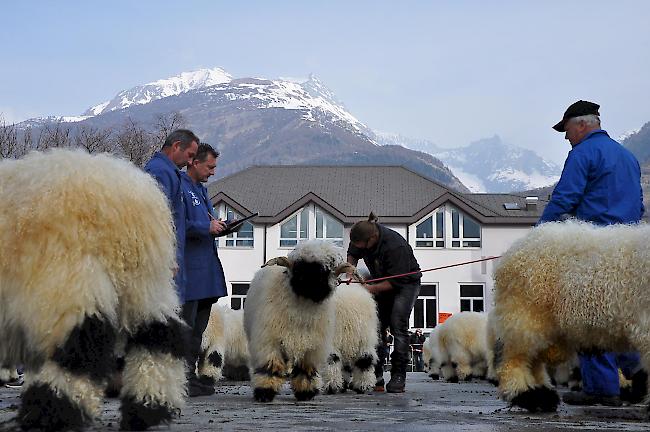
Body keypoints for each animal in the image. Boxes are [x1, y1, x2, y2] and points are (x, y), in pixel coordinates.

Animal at [0, 149, 187, 432]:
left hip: (67, 280)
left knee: (79, 349)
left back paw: (51, 413)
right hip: (145, 282)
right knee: (159, 337)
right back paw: (147, 408)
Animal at [243, 241, 354, 404]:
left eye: (327, 270)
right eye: (299, 268)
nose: (312, 284)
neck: (302, 309)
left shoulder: (311, 347)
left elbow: (305, 370)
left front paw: (305, 392)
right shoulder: (270, 341)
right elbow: (270, 367)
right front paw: (265, 392)